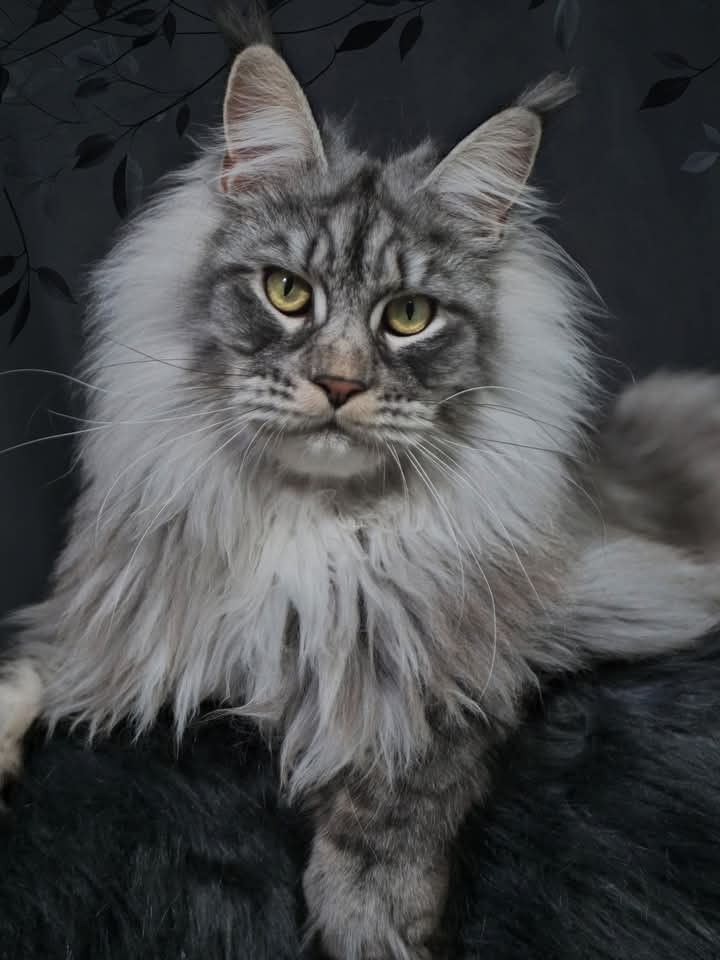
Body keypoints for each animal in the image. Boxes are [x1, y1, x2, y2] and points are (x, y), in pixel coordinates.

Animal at [1, 7, 720, 960]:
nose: (339, 384)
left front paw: (371, 917)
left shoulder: (511, 633)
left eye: (408, 317)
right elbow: (26, 677)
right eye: (286, 292)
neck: (318, 528)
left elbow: (408, 758)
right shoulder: (102, 635)